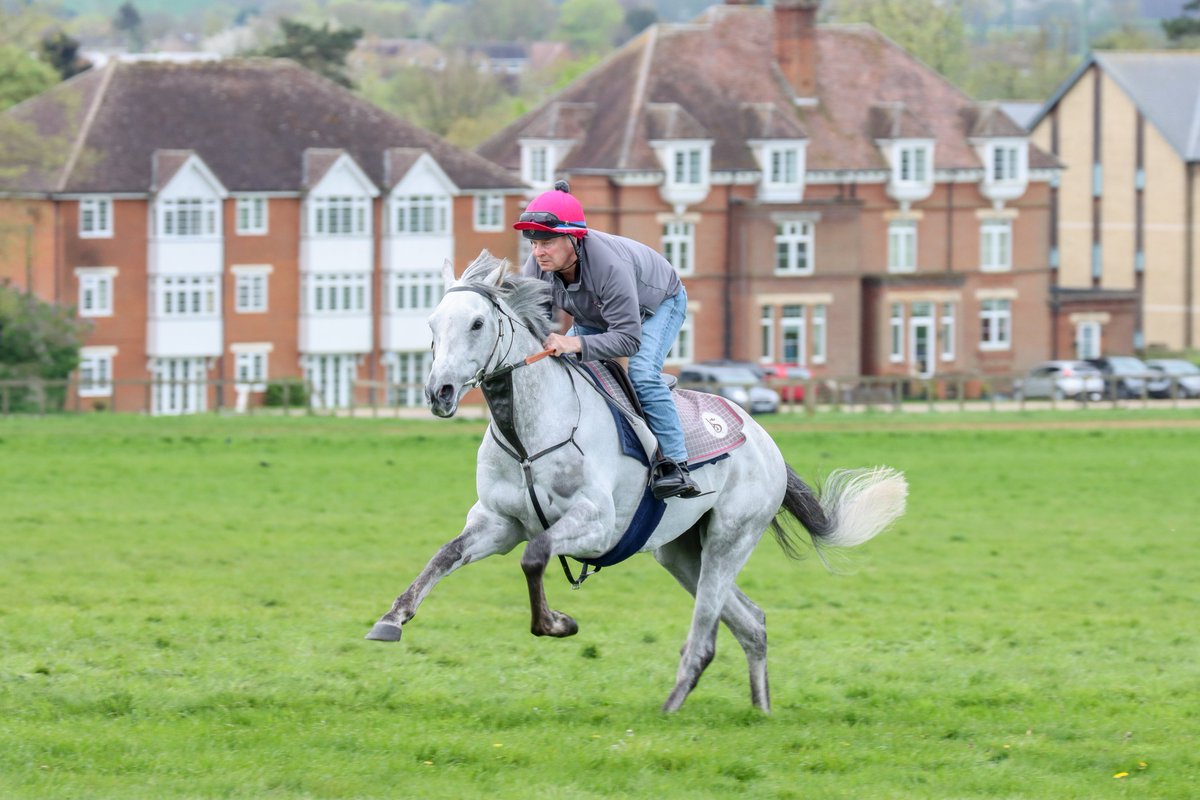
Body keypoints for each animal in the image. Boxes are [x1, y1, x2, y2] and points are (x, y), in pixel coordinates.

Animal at [364, 251, 907, 714]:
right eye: (433, 324)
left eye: (477, 323)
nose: (439, 392)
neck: (529, 434)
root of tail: (763, 439)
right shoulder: (497, 523)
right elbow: (445, 556)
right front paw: (390, 620)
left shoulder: (597, 523)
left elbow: (535, 555)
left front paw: (557, 623)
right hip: (681, 552)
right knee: (752, 623)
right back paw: (761, 710)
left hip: (729, 540)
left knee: (707, 635)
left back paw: (671, 707)